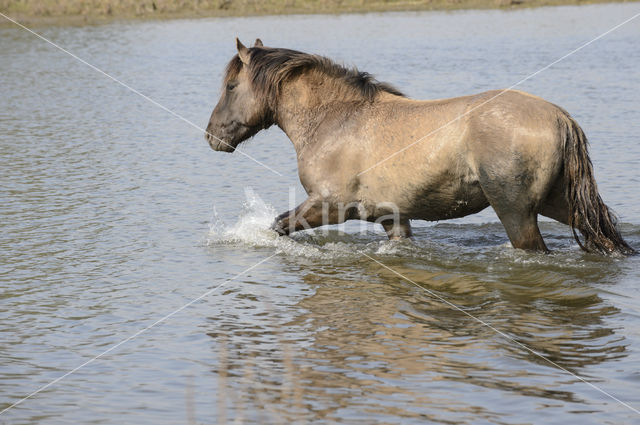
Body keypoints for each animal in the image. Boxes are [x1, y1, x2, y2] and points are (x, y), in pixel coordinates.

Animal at [206, 38, 636, 255]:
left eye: (231, 86)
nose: (212, 135)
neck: (337, 120)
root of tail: (560, 117)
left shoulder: (329, 205)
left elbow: (278, 226)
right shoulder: (391, 217)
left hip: (516, 212)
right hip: (558, 203)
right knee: (603, 235)